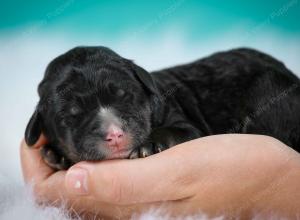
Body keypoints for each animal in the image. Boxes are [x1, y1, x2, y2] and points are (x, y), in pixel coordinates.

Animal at [24, 46, 300, 169]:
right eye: (72, 114)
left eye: (124, 95)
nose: (114, 134)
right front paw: (56, 155)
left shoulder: (185, 123)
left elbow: (175, 130)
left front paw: (149, 144)